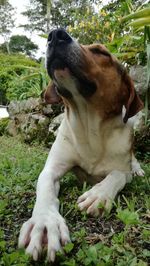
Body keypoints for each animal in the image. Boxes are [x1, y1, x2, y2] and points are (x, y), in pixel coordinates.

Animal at [18, 28, 144, 262]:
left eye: (101, 53)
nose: (56, 34)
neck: (89, 125)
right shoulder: (52, 169)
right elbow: (46, 186)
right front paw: (45, 222)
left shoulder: (122, 169)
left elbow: (118, 174)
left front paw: (98, 195)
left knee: (134, 160)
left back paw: (139, 170)